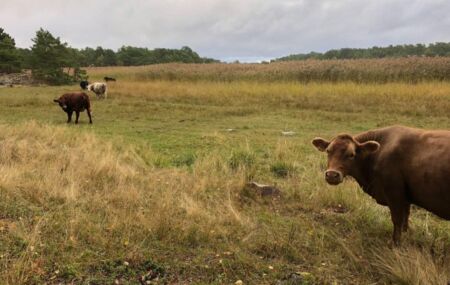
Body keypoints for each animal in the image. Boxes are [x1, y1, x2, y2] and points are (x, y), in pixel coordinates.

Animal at [312, 125, 450, 244]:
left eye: (351, 154)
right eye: (328, 151)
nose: (331, 175)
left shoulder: (394, 193)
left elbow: (397, 220)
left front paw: (395, 243)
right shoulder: (405, 197)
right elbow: (405, 219)